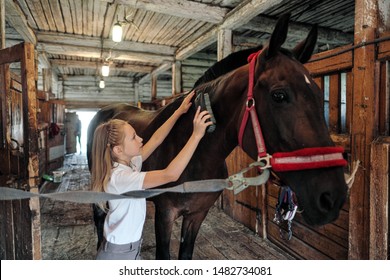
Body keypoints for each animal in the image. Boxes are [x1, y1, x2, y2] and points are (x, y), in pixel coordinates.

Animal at [87, 13, 348, 260]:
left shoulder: (197, 215)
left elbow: (186, 254)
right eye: (279, 95)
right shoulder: (165, 214)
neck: (195, 155)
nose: (332, 198)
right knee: (100, 218)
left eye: (319, 95)